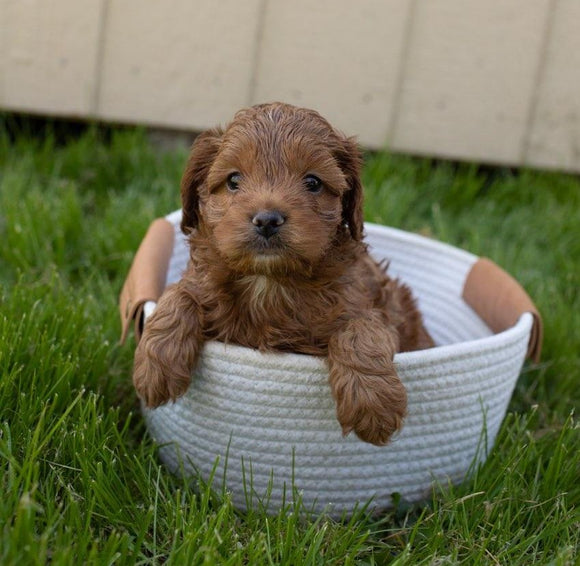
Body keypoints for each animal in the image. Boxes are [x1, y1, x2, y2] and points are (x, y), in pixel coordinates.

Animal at [135, 103, 436, 448]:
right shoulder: (201, 281)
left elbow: (361, 329)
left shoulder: (370, 306)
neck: (269, 281)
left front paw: (373, 405)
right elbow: (178, 295)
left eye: (313, 182)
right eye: (233, 180)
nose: (267, 220)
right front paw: (154, 369)